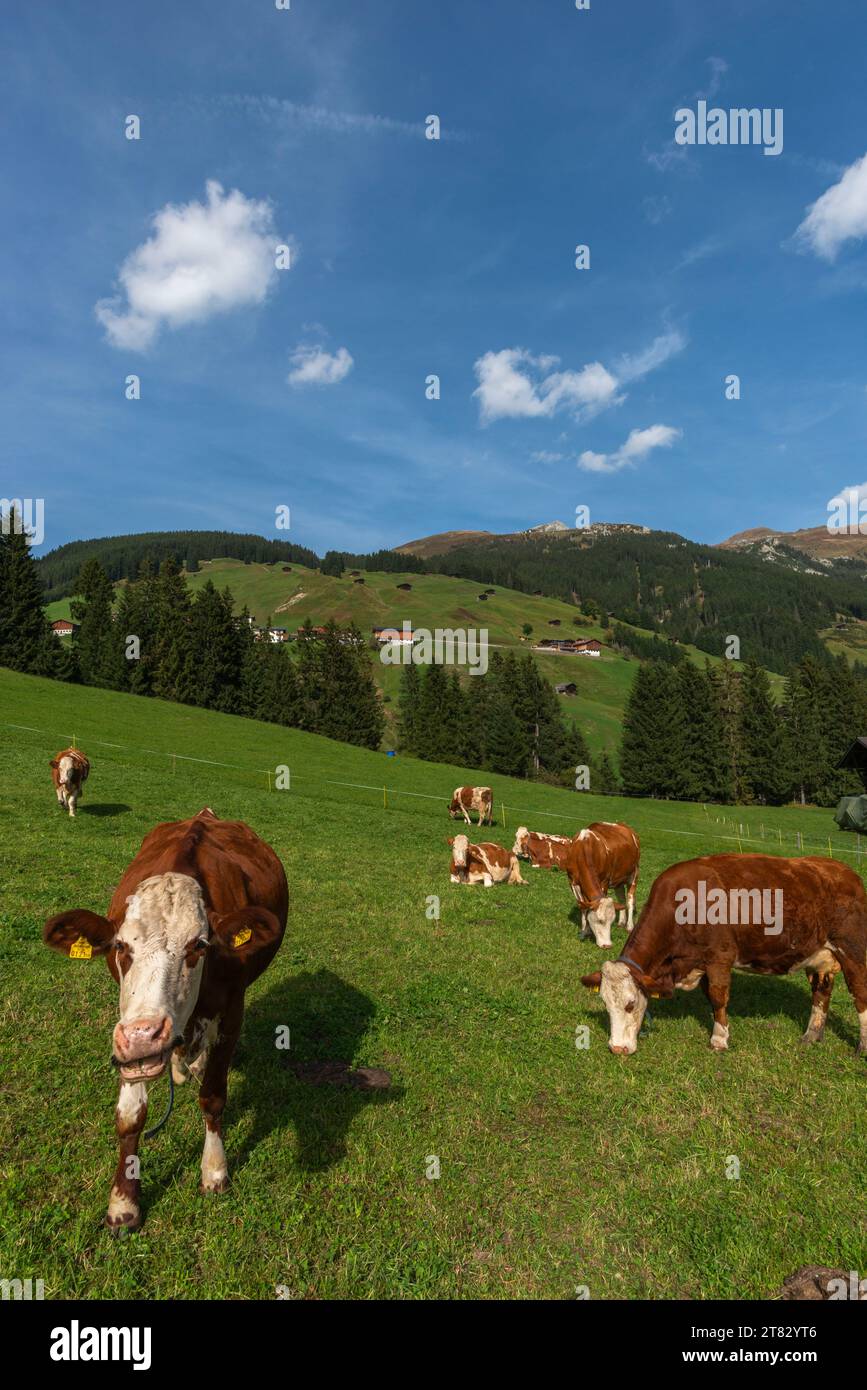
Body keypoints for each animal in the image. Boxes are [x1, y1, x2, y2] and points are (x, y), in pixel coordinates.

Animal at [42, 809, 287, 1233]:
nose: (147, 1035)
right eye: (121, 946)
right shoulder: (128, 1028)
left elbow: (213, 1097)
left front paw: (215, 1171)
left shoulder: (231, 1015)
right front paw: (123, 1201)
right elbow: (130, 1116)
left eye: (198, 946)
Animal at [581, 854, 867, 1057]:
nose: (617, 1048)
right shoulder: (700, 962)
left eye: (630, 1004)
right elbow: (710, 997)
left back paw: (862, 1047)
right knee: (821, 994)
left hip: (853, 951)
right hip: (820, 957)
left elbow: (719, 997)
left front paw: (719, 1039)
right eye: (606, 1004)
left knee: (860, 995)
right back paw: (812, 1035)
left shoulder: (719, 958)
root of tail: (844, 872)